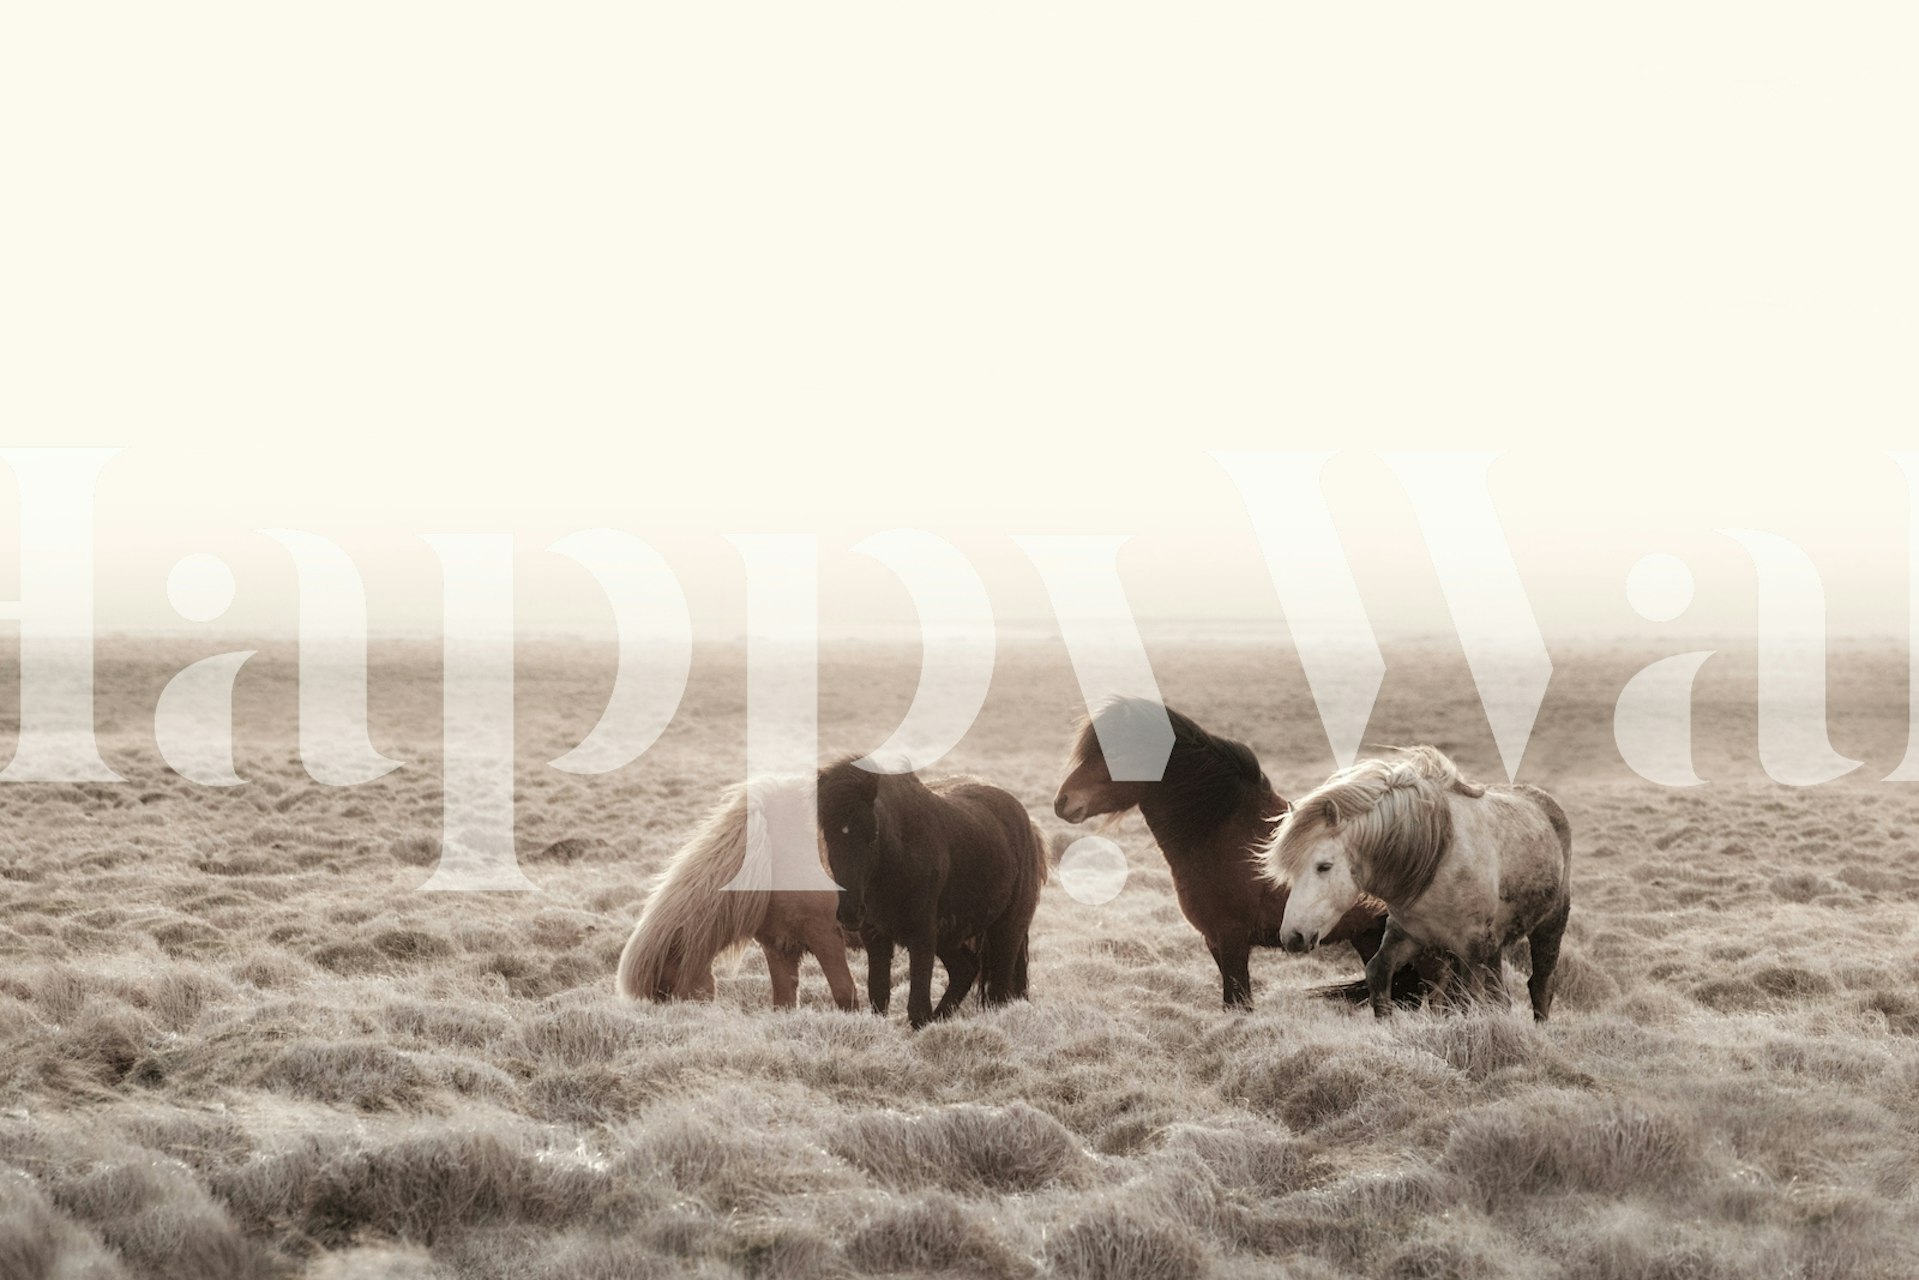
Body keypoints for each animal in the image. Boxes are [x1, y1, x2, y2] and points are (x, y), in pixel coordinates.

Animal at [615, 776, 860, 1010]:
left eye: (665, 992)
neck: (770, 855)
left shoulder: (825, 936)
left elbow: (845, 995)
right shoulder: (780, 946)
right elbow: (784, 1002)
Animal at [818, 759, 1048, 1030]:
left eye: (872, 835)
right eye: (828, 836)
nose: (851, 913)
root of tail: (1029, 825)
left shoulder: (922, 936)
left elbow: (917, 1008)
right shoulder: (876, 938)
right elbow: (879, 996)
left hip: (1006, 930)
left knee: (999, 989)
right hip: (949, 936)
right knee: (965, 970)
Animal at [1053, 696, 1426, 1010]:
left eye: (1114, 754)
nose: (1062, 802)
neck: (1221, 831)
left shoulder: (1232, 938)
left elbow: (1238, 1002)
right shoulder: (1214, 940)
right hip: (1368, 937)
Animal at [1267, 746, 1573, 1021]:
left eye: (1324, 866)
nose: (1292, 937)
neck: (1439, 858)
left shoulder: (1471, 950)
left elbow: (1469, 1001)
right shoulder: (1408, 935)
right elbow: (1378, 973)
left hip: (1549, 925)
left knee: (1541, 984)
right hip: (1493, 946)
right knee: (1500, 995)